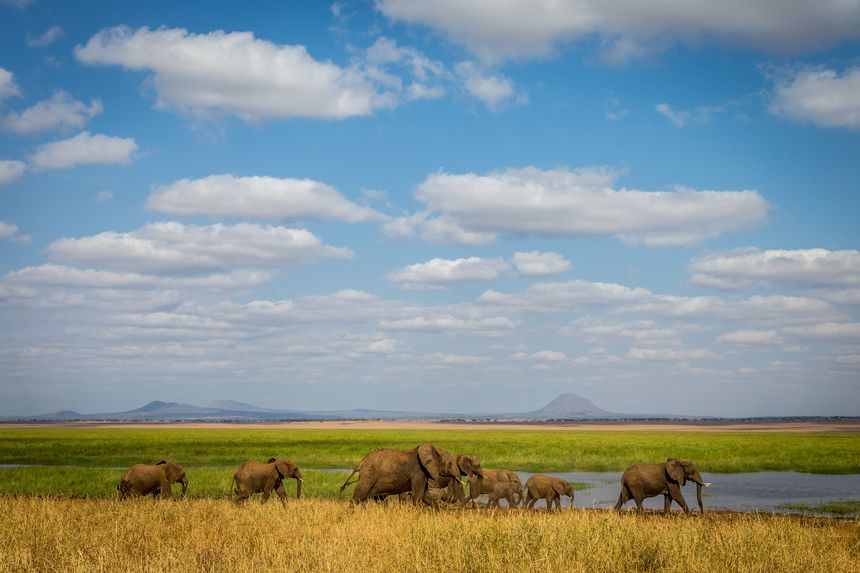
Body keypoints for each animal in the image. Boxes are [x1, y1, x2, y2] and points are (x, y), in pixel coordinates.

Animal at [338, 442, 484, 504]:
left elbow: (423, 494)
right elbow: (417, 495)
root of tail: (361, 463)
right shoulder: (419, 472)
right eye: (448, 464)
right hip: (369, 475)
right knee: (358, 496)